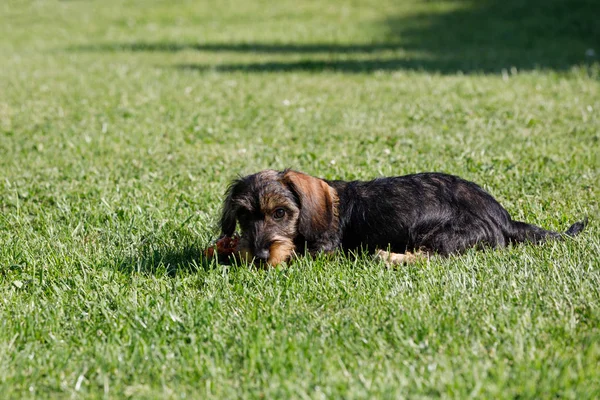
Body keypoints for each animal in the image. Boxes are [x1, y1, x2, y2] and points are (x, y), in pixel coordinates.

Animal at [217, 169, 584, 266]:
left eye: (281, 212)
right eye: (244, 215)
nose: (259, 255)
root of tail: (503, 218)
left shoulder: (323, 252)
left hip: (441, 233)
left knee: (432, 258)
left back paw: (387, 256)